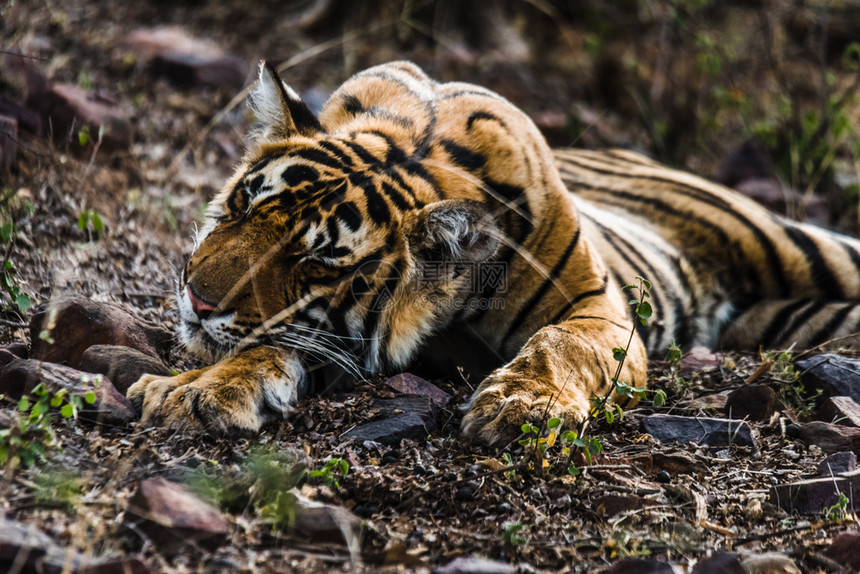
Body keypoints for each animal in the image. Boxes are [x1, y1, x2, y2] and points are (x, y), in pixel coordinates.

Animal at [126, 60, 860, 448]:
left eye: (316, 263)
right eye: (243, 206)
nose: (196, 298)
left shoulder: (599, 310)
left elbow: (561, 345)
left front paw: (523, 404)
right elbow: (267, 344)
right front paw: (197, 390)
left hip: (805, 249)